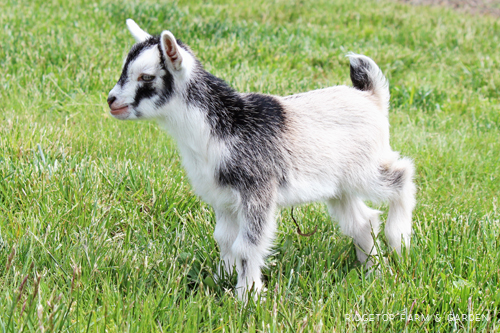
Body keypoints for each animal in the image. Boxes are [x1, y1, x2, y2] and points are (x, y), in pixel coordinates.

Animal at [107, 19, 416, 300]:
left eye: (146, 77)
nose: (111, 100)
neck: (225, 125)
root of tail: (371, 97)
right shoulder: (224, 199)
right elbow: (224, 239)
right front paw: (222, 279)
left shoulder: (258, 190)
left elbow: (247, 245)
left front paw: (248, 297)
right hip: (339, 186)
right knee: (362, 221)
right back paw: (373, 270)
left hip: (365, 168)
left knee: (402, 175)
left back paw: (399, 239)